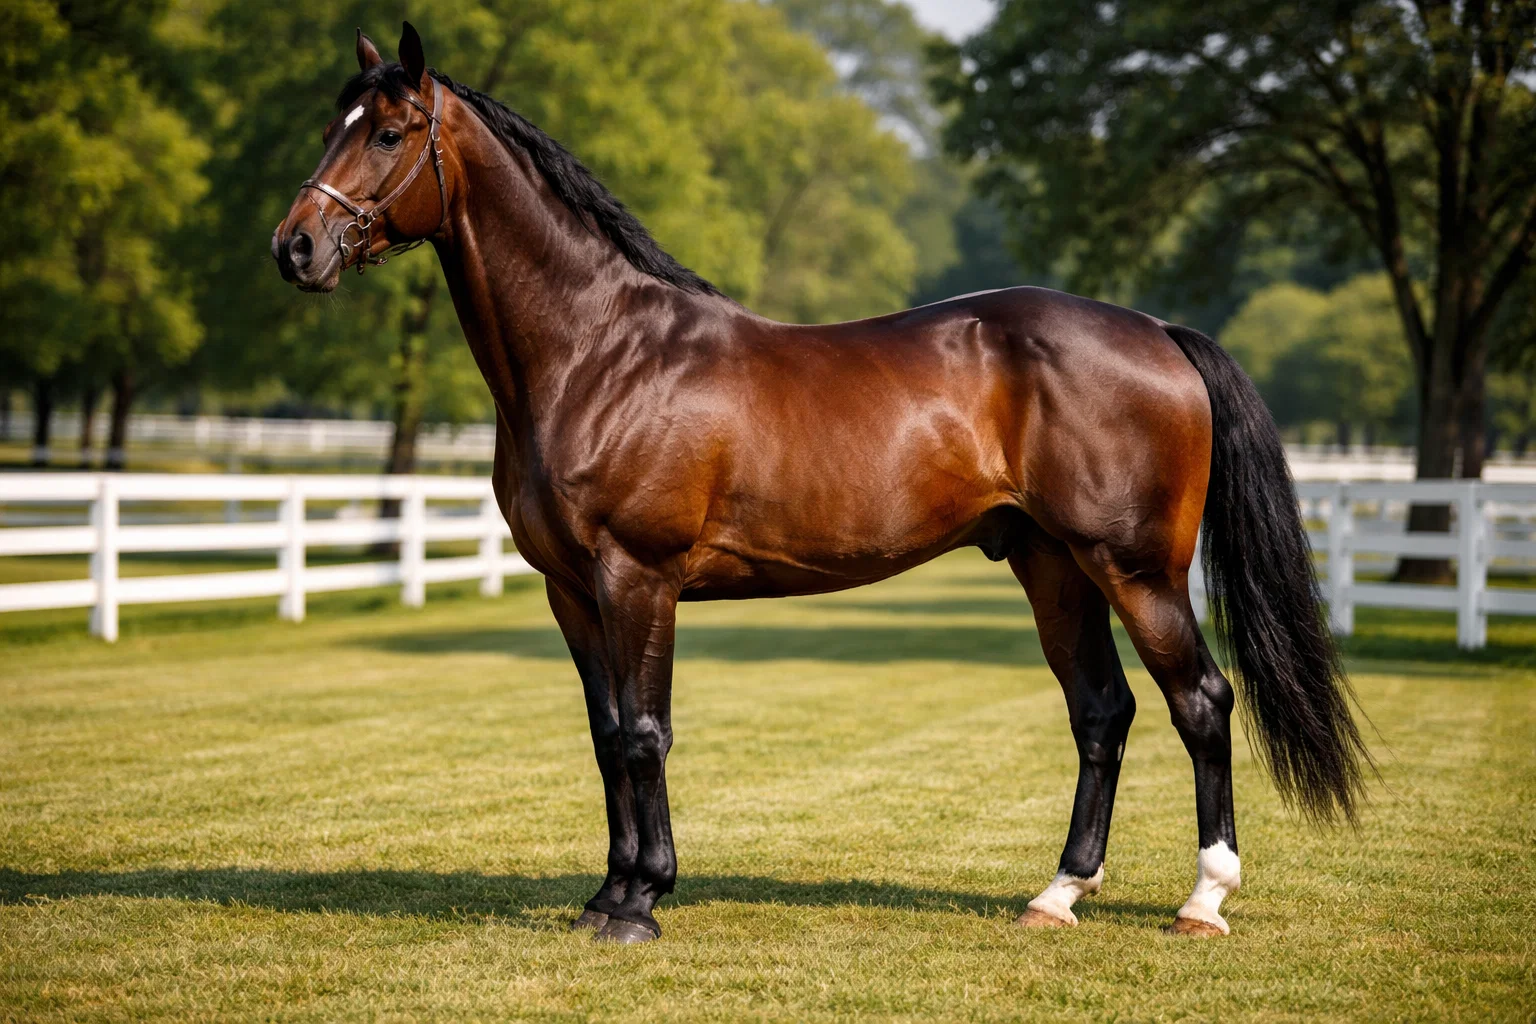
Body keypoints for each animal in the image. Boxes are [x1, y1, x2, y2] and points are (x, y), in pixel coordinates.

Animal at [274, 23, 1368, 944]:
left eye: (389, 132)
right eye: (332, 126)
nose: (295, 248)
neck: (600, 350)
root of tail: (1160, 334)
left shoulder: (639, 578)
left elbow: (645, 733)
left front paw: (641, 902)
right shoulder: (572, 591)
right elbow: (605, 735)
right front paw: (607, 893)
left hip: (1135, 570)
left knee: (1203, 701)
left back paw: (1203, 899)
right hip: (1054, 566)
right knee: (1102, 713)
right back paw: (1057, 893)